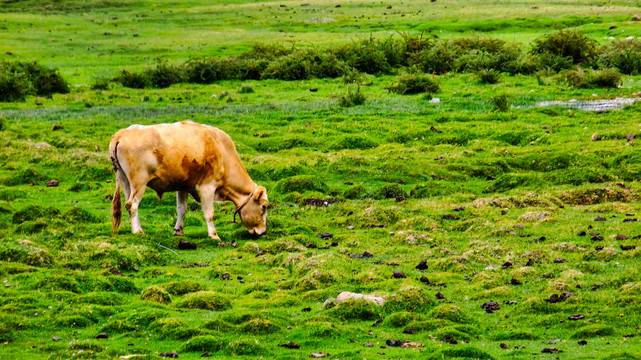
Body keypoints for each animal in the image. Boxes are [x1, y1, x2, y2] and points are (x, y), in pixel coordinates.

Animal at [109, 121, 268, 239]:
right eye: (264, 206)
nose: (263, 231)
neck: (222, 151)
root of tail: (121, 134)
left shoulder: (183, 186)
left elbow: (182, 209)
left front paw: (178, 231)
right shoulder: (207, 187)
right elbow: (209, 213)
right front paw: (214, 235)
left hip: (125, 181)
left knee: (128, 204)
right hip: (139, 182)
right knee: (132, 205)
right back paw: (137, 231)